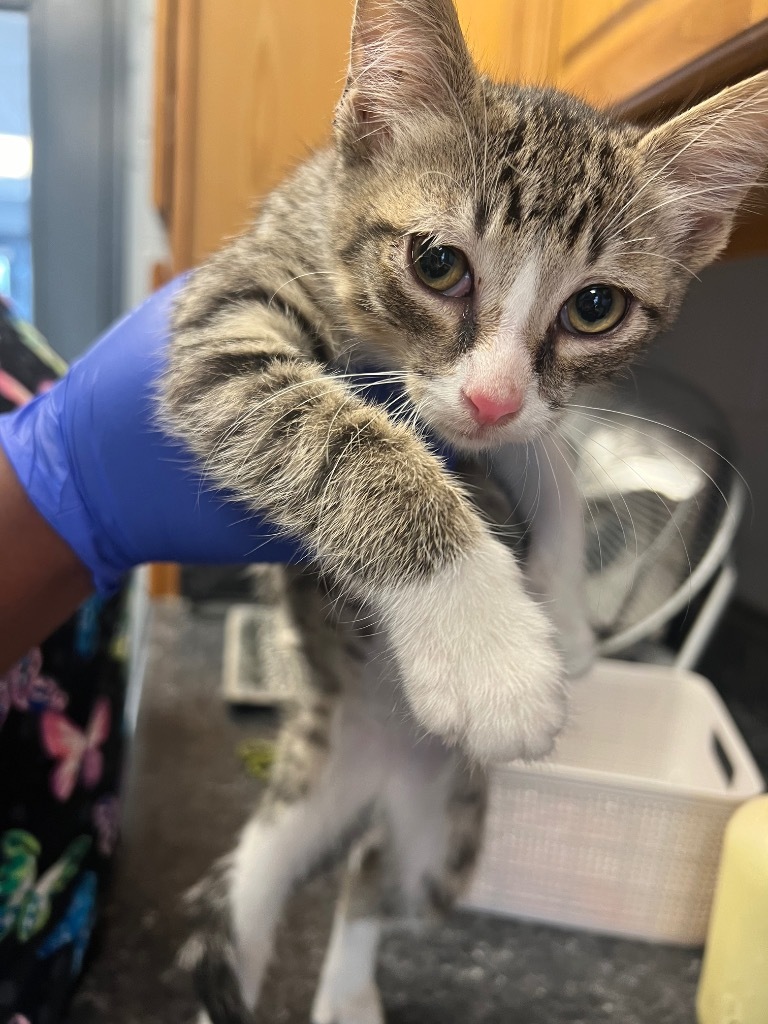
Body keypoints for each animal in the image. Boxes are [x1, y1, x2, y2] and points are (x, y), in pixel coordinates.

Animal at [165, 0, 768, 1019]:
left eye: (596, 307)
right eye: (437, 262)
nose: (488, 401)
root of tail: (373, 767)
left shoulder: (515, 409)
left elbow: (548, 451)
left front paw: (563, 616)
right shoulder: (229, 317)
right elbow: (335, 431)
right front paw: (488, 655)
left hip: (446, 833)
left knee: (371, 879)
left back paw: (345, 987)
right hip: (310, 787)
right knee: (260, 872)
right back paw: (239, 963)